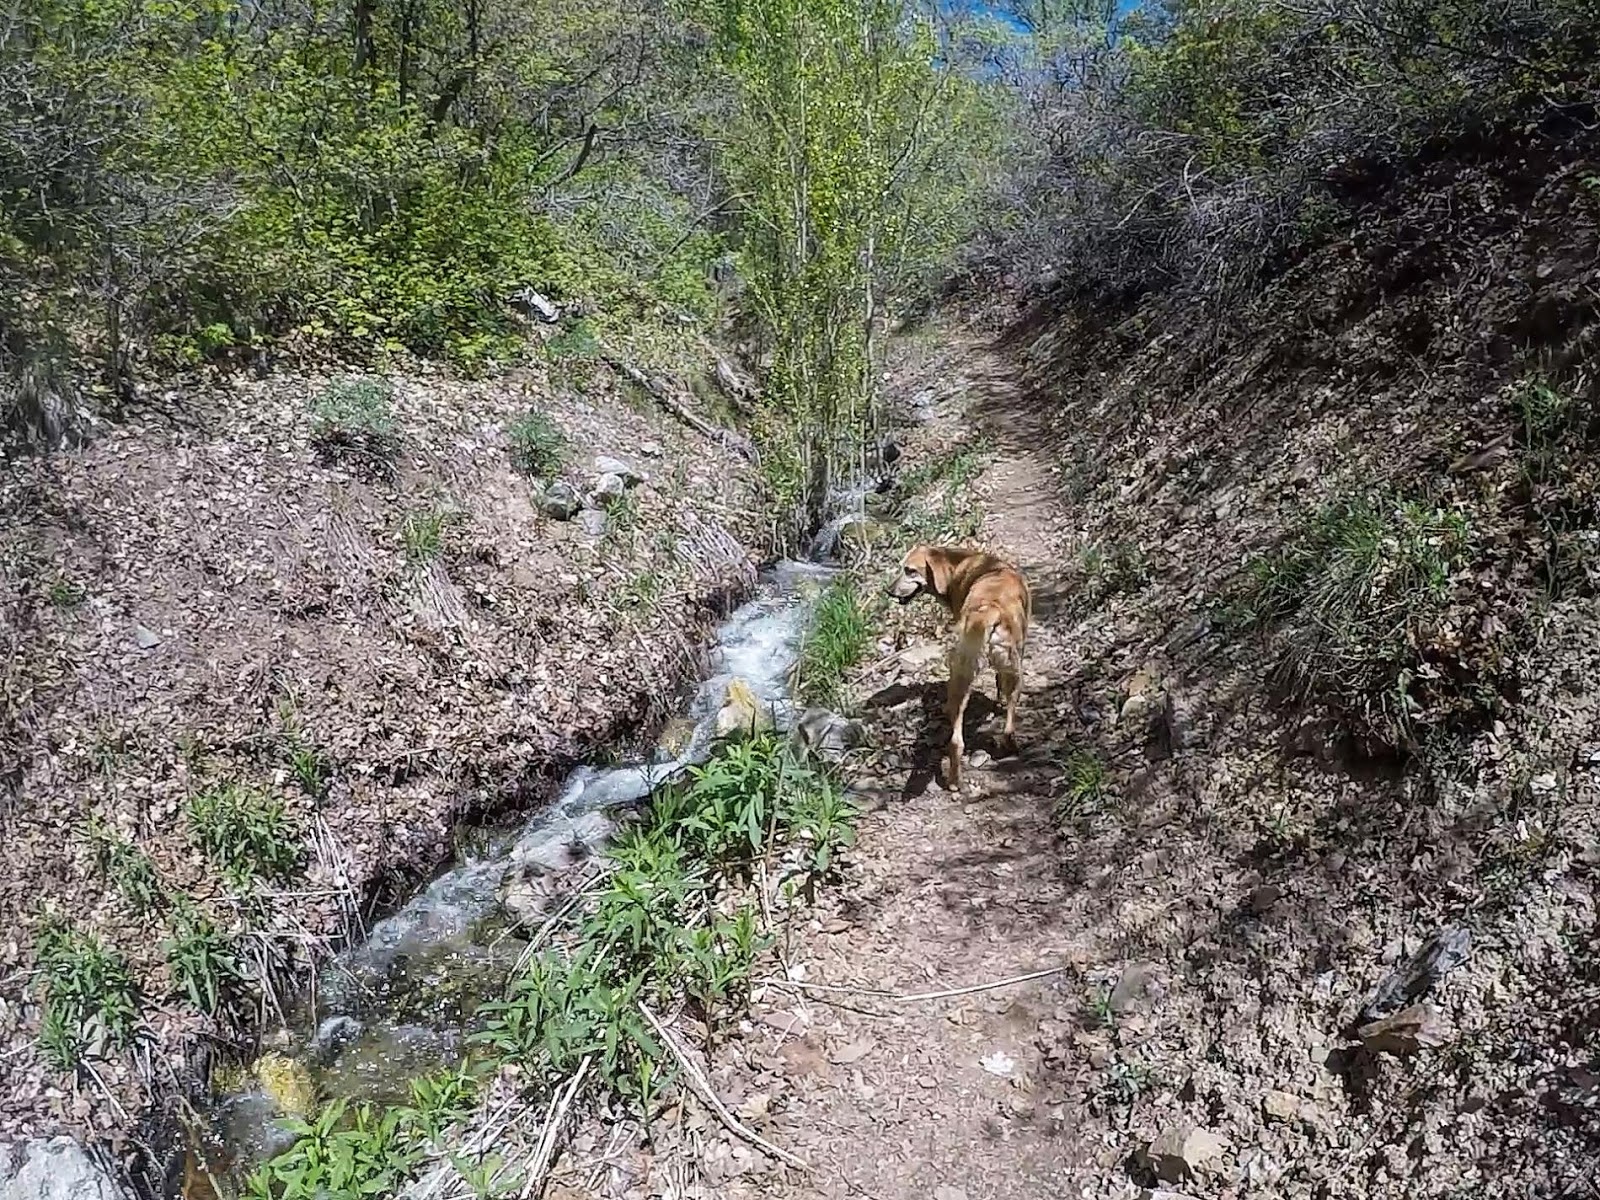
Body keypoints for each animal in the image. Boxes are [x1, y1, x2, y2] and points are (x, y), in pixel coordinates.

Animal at [889, 544, 1036, 790]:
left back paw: (954, 781)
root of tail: (989, 610)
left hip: (960, 678)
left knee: (956, 741)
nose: (889, 591)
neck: (958, 564)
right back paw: (1010, 746)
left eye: (909, 570)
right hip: (1014, 670)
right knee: (1009, 720)